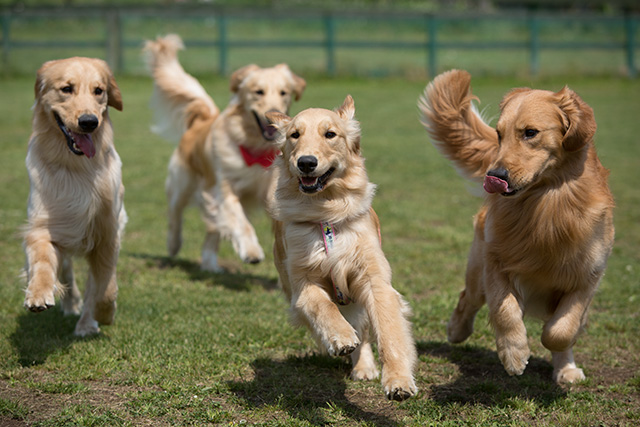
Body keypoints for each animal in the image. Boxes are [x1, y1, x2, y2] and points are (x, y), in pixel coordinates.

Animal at [22, 57, 125, 338]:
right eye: (66, 89)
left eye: (98, 91)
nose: (89, 121)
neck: (77, 168)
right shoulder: (43, 226)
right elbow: (42, 261)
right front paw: (38, 294)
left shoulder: (107, 233)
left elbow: (106, 286)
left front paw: (105, 314)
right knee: (67, 271)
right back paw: (70, 305)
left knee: (94, 284)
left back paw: (87, 323)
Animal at [143, 35, 308, 272]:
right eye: (258, 92)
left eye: (284, 93)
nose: (273, 114)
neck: (255, 147)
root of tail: (203, 119)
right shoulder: (225, 189)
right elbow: (241, 223)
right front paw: (251, 251)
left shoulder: (271, 189)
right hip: (182, 183)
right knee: (175, 213)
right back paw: (174, 245)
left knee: (212, 231)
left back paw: (210, 263)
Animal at [266, 96, 420, 402]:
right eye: (294, 135)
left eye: (330, 134)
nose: (306, 162)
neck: (326, 212)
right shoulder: (302, 283)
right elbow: (323, 306)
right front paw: (341, 337)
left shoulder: (375, 281)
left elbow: (389, 333)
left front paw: (398, 380)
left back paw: (364, 366)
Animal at [420, 69, 616, 384]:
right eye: (499, 134)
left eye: (530, 133)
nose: (495, 175)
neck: (548, 204)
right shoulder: (496, 261)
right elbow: (505, 311)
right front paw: (514, 354)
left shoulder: (588, 275)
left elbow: (561, 330)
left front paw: (557, 352)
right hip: (476, 271)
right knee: (467, 298)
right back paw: (457, 330)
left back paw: (566, 369)